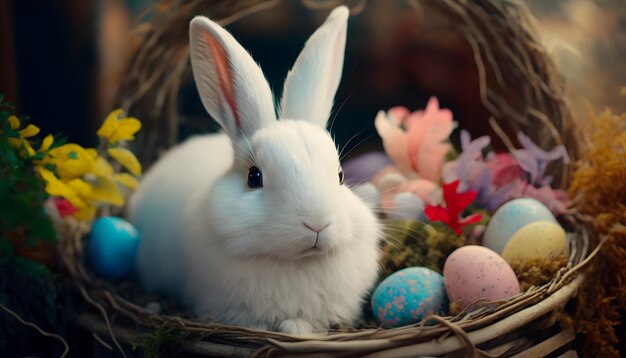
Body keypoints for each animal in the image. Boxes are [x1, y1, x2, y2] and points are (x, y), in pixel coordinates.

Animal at [129, 6, 378, 336]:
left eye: (340, 176)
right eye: (254, 177)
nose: (317, 224)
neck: (297, 262)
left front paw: (297, 327)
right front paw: (291, 327)